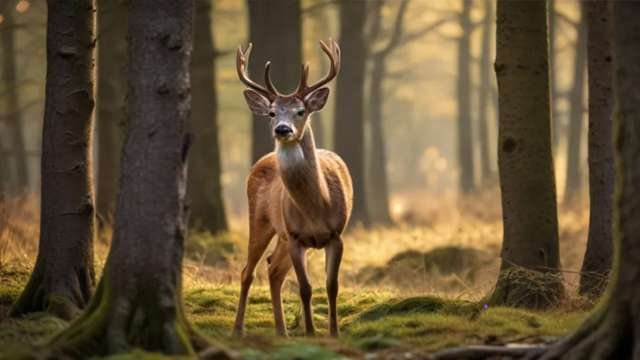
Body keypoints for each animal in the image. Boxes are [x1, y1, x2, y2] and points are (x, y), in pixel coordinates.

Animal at [231, 39, 352, 338]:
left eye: (301, 111)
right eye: (272, 113)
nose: (282, 129)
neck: (317, 207)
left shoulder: (337, 235)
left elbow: (332, 287)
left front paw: (334, 333)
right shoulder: (297, 236)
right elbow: (306, 288)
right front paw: (310, 332)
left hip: (283, 236)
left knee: (273, 269)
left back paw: (282, 331)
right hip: (261, 221)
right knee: (248, 270)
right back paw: (238, 329)